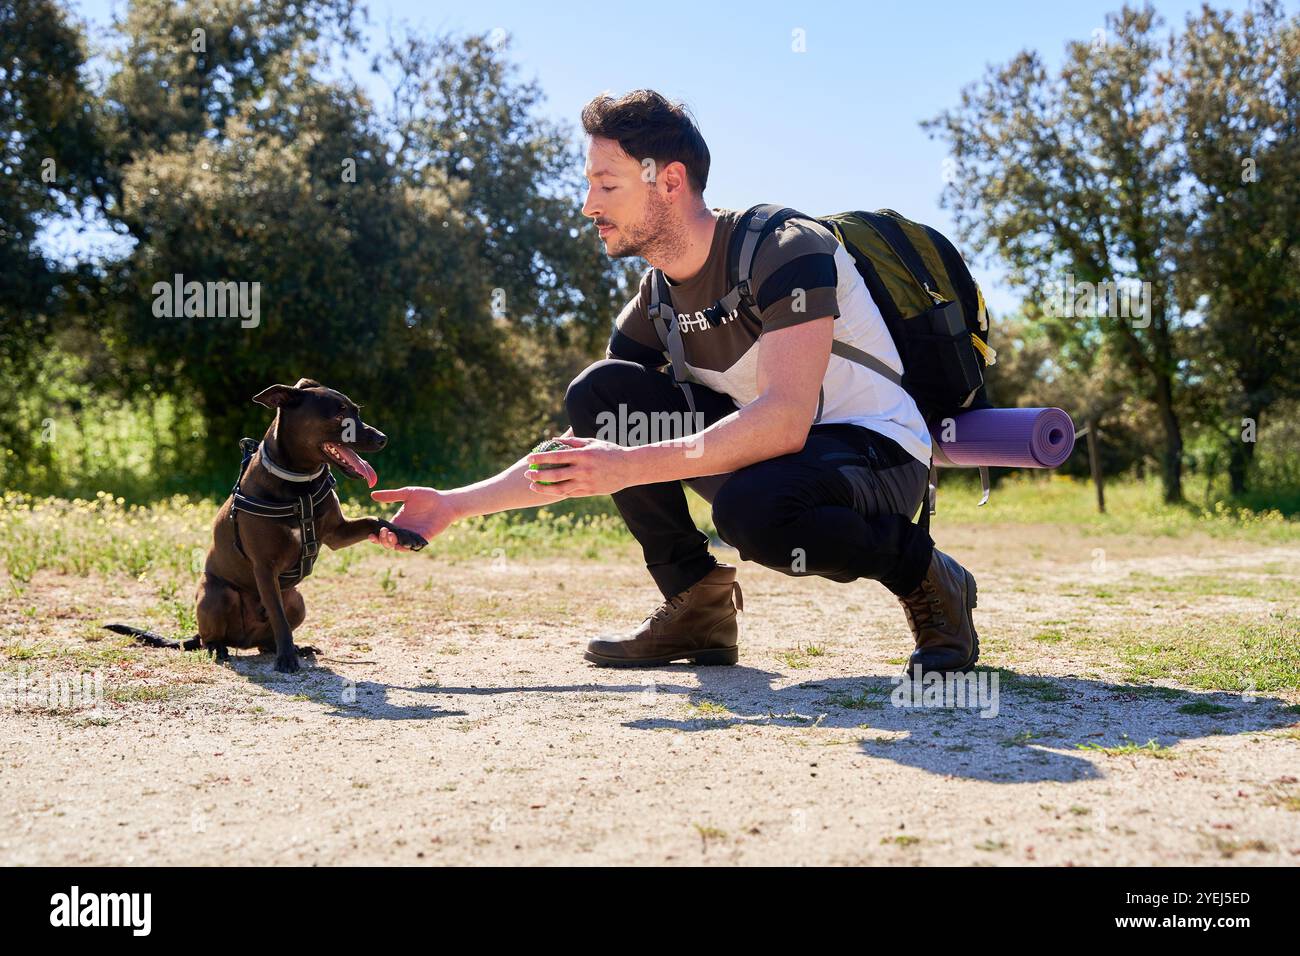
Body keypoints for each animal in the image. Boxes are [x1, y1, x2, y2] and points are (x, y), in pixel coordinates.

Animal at [105, 379, 426, 671]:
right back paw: (221, 649)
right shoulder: (264, 566)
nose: (382, 438)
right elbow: (278, 617)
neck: (300, 485)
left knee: (266, 640)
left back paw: (295, 647)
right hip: (216, 594)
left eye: (357, 412)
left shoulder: (336, 533)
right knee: (213, 637)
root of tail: (242, 641)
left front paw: (407, 535)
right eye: (340, 416)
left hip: (296, 599)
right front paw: (286, 660)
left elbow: (375, 519)